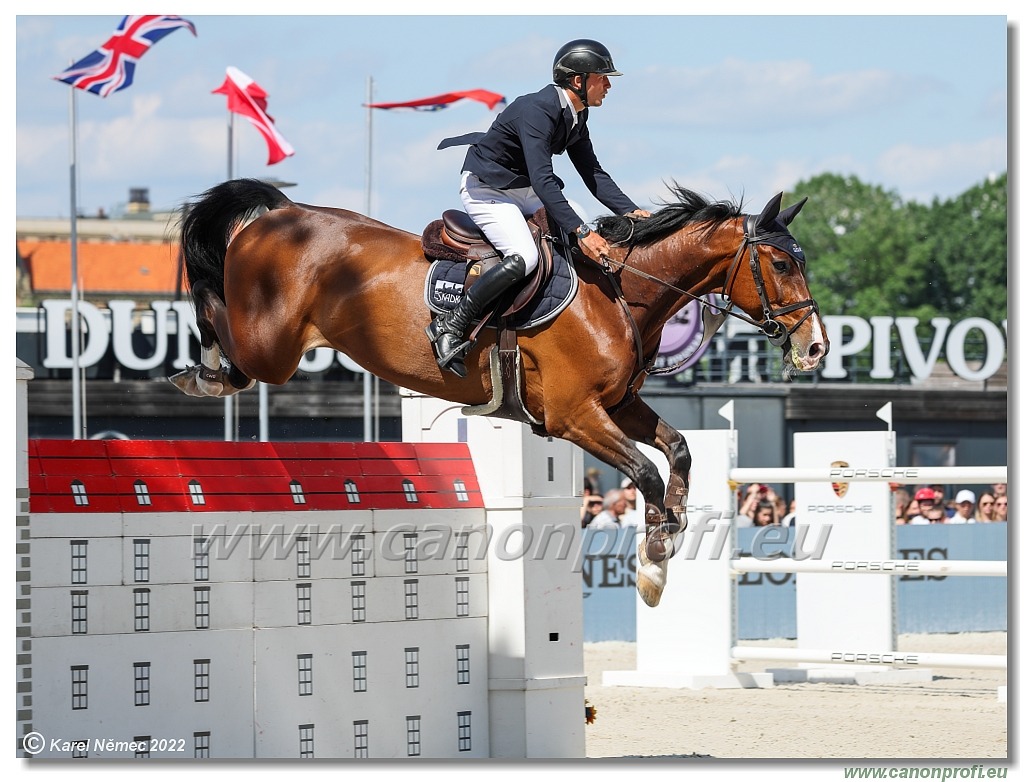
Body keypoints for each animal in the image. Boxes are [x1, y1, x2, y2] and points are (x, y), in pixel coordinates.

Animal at [167, 177, 827, 605]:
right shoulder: (573, 415)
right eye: (782, 264)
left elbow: (679, 449)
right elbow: (644, 472)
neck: (619, 291)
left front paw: (664, 544)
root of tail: (278, 214)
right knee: (222, 324)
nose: (817, 347)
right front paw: (655, 559)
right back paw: (199, 369)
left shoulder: (617, 404)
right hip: (271, 348)